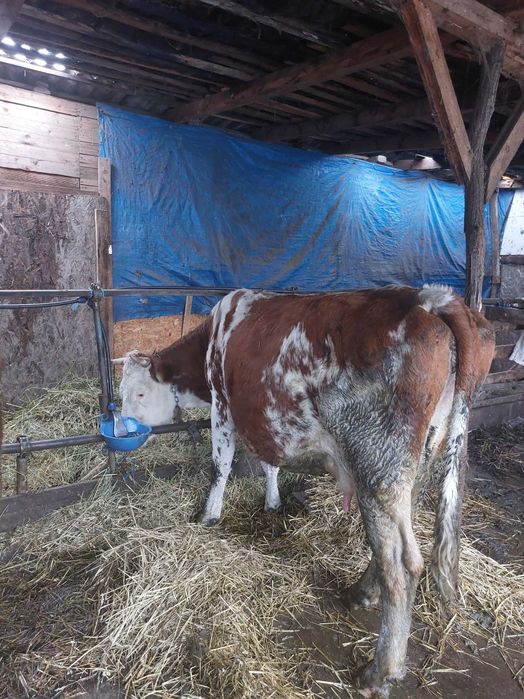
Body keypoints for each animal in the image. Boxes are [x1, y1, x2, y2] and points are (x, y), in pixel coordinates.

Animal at [119, 285, 494, 698]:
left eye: (139, 393)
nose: (120, 429)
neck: (214, 336)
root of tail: (431, 299)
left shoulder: (223, 403)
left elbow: (221, 463)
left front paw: (208, 515)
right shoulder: (264, 419)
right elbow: (269, 463)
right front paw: (272, 501)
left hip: (378, 459)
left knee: (401, 563)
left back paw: (379, 672)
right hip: (420, 458)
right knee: (396, 537)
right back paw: (362, 593)